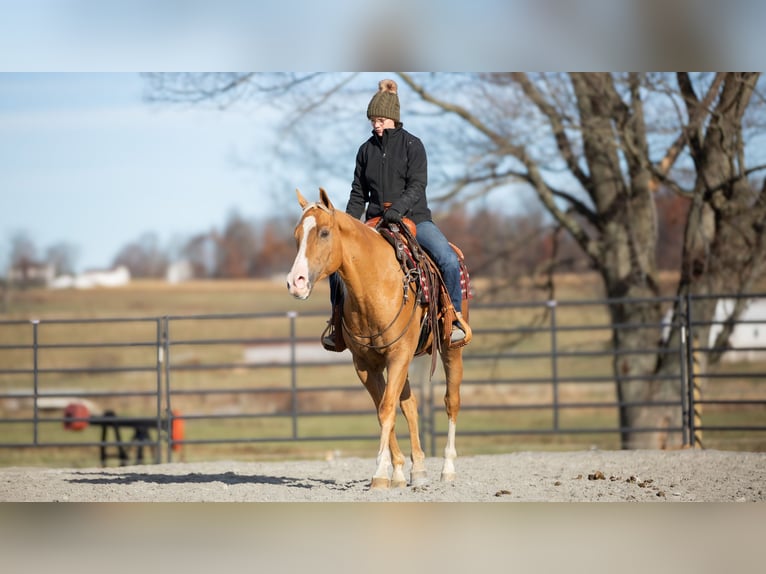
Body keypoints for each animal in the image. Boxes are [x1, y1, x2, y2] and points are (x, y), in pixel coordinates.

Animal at [288, 189, 468, 490]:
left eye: (324, 232)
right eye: (296, 235)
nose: (296, 282)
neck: (373, 286)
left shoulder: (398, 355)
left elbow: (386, 409)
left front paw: (380, 472)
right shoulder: (366, 364)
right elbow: (385, 409)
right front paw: (395, 473)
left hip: (449, 349)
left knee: (451, 401)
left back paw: (448, 469)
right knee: (410, 405)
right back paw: (418, 470)